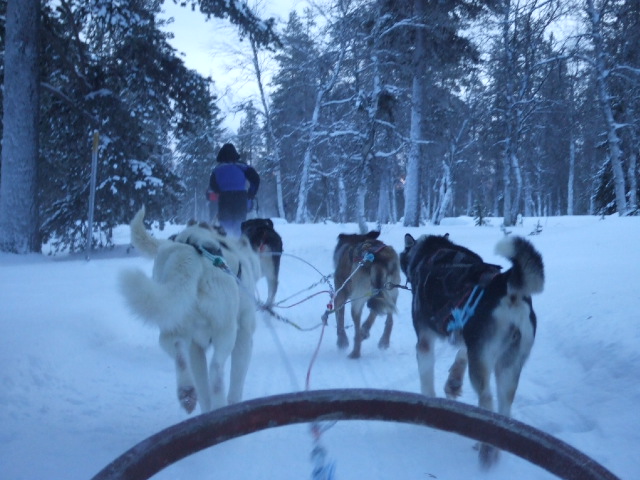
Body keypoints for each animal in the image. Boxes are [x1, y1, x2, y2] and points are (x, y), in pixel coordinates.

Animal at [117, 208, 260, 414]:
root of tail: (188, 253)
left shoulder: (196, 348)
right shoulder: (244, 337)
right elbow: (236, 382)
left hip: (175, 322)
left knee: (178, 350)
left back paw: (187, 393)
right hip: (225, 331)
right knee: (216, 371)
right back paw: (218, 404)